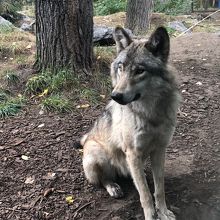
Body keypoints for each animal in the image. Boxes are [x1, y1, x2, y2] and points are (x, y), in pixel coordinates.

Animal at [81, 26, 180, 220]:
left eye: (140, 71)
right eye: (121, 68)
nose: (115, 96)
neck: (150, 113)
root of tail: (86, 139)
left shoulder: (160, 150)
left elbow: (159, 189)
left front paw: (163, 213)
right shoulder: (133, 153)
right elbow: (145, 195)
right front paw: (151, 216)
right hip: (99, 154)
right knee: (104, 179)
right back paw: (114, 187)